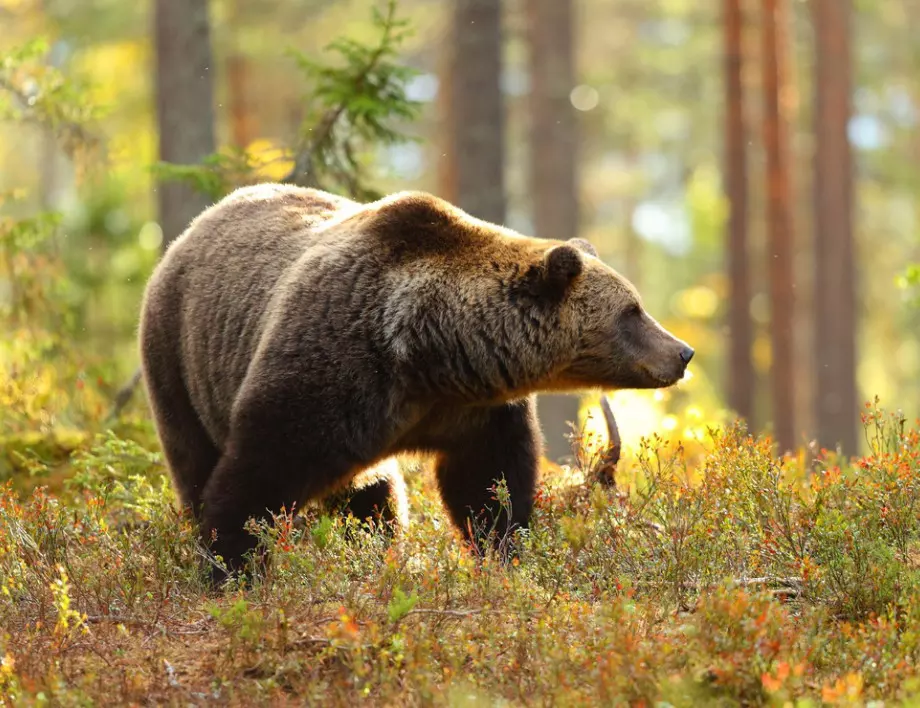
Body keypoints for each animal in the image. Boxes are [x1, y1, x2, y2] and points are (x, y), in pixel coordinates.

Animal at [140, 183, 692, 580]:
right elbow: (261, 468)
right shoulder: (332, 366)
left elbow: (487, 484)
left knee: (372, 495)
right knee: (194, 458)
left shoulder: (474, 410)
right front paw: (231, 564)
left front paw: (504, 550)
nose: (682, 353)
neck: (429, 352)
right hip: (179, 359)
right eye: (632, 311)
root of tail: (191, 230)